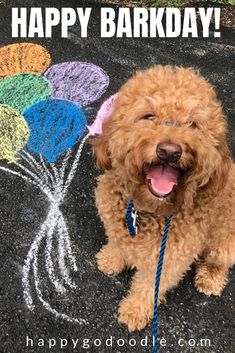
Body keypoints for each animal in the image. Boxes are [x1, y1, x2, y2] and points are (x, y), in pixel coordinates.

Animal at [90, 65, 235, 330]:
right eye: (148, 116)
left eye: (193, 124)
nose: (169, 151)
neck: (147, 208)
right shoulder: (116, 224)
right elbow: (118, 243)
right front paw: (111, 259)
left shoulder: (169, 257)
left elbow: (150, 286)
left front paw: (135, 311)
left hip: (225, 244)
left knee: (218, 261)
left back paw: (210, 278)